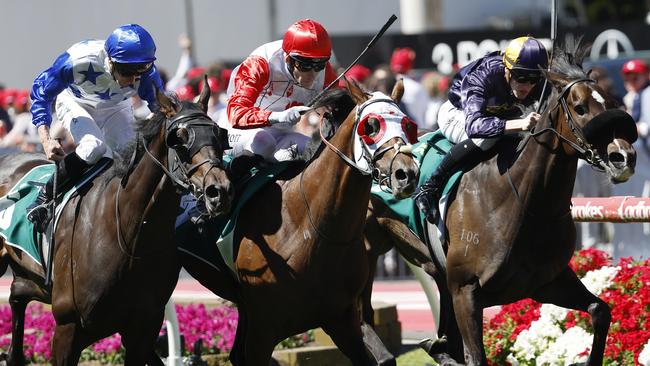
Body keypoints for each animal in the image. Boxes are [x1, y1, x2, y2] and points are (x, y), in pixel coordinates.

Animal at [0, 86, 233, 366]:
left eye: (219, 134)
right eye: (180, 138)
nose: (218, 191)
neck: (130, 235)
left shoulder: (142, 330)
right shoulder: (68, 327)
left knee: (16, 295)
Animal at [180, 78, 418, 364]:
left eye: (407, 124)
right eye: (370, 126)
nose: (406, 173)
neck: (309, 227)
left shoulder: (343, 320)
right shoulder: (263, 330)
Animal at [362, 41, 636, 364]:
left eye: (611, 101)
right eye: (580, 107)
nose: (624, 157)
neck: (521, 203)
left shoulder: (547, 282)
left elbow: (600, 311)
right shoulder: (466, 291)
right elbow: (476, 356)